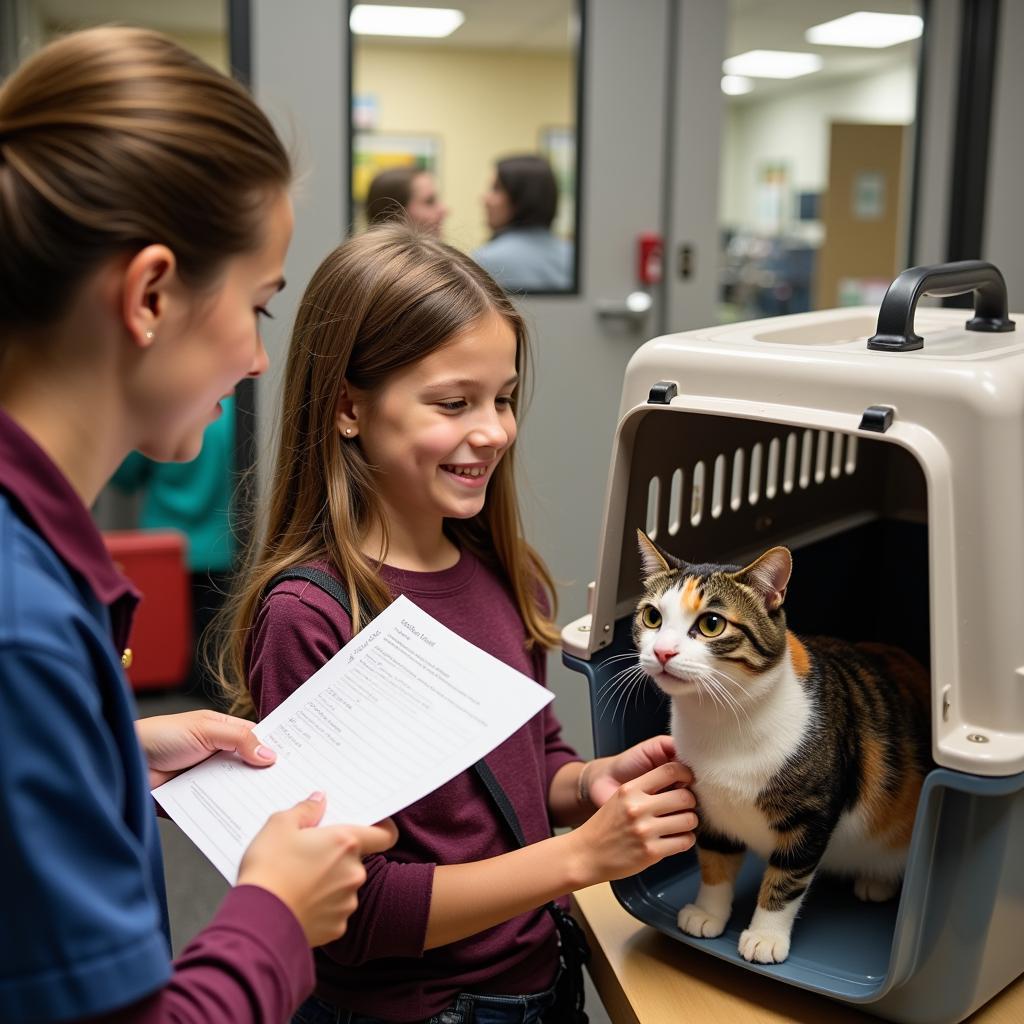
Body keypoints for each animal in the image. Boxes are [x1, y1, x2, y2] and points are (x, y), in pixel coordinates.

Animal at [626, 532, 933, 962]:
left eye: (711, 624)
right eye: (652, 617)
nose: (662, 652)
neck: (722, 720)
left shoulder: (811, 817)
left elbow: (786, 880)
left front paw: (765, 936)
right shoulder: (710, 808)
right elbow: (714, 863)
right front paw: (708, 913)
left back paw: (877, 881)